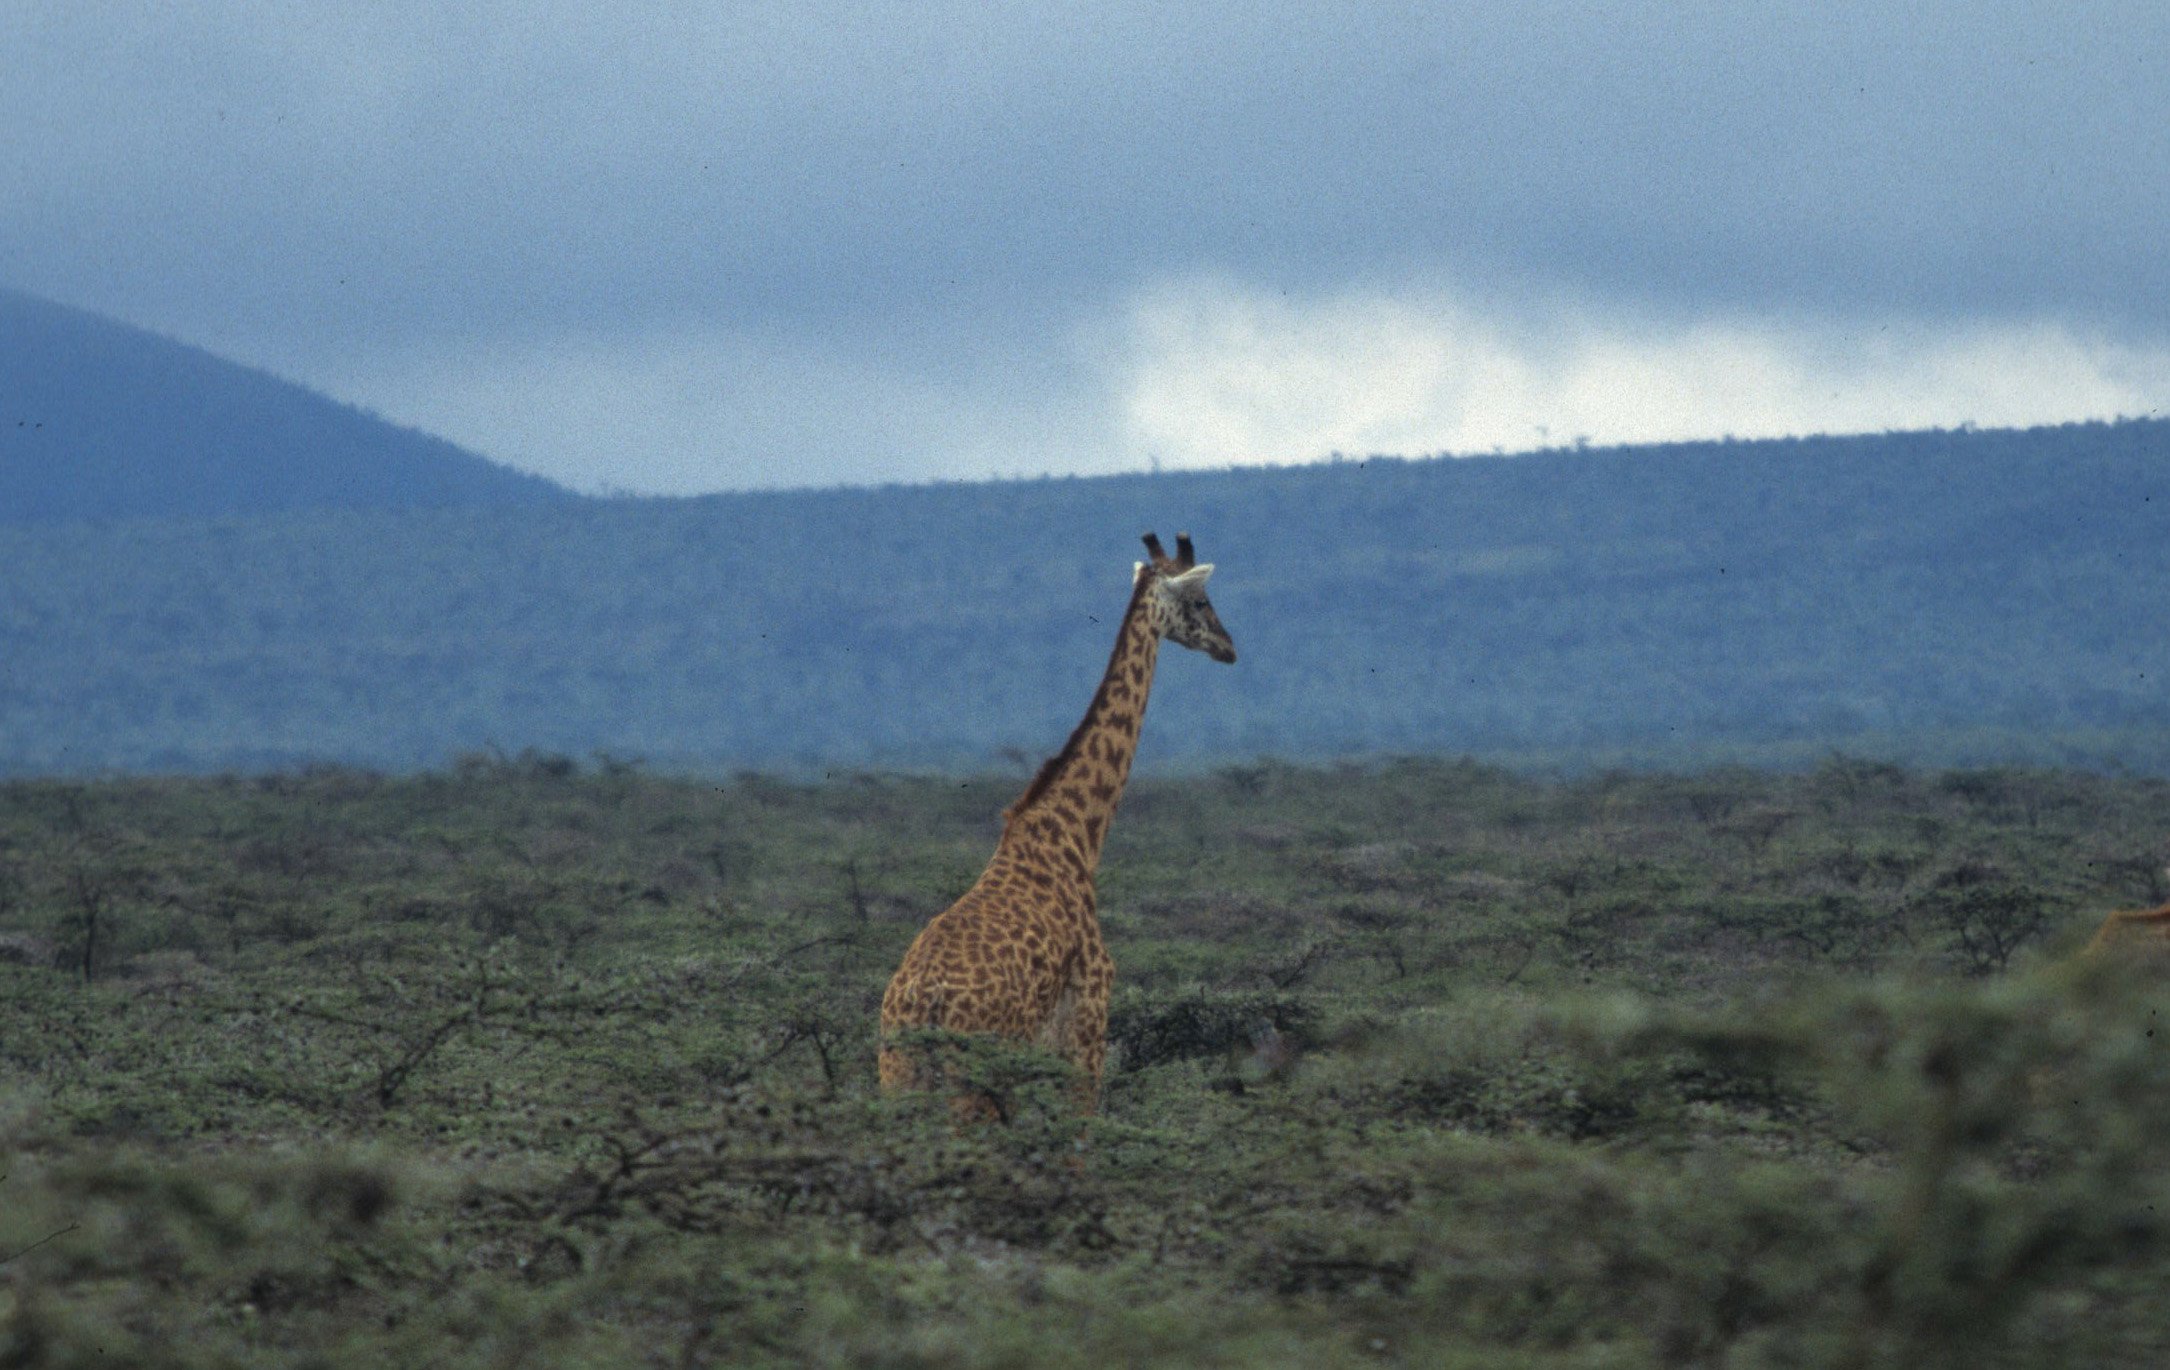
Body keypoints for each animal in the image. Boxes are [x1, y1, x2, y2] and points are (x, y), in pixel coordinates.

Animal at [878, 531, 1237, 1114]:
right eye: (1202, 601)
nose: (1229, 647)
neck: (1076, 834)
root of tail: (920, 1003)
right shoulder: (1087, 1024)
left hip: (897, 1076)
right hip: (971, 1082)